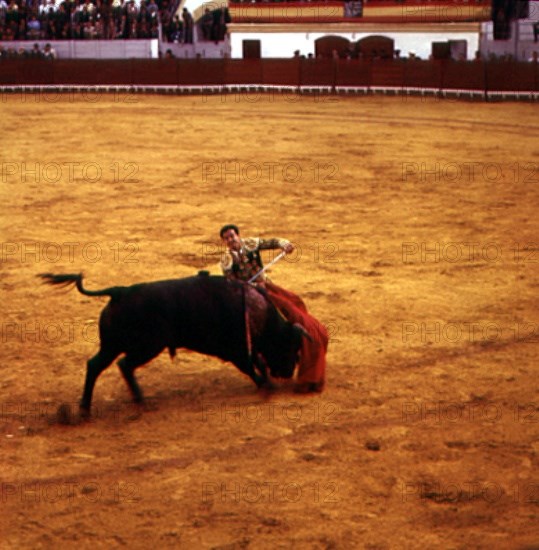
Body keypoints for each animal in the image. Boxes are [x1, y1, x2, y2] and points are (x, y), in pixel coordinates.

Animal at [39, 272, 308, 414]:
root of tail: (120, 292)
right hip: (146, 346)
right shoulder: (238, 350)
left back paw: (86, 407)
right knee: (124, 365)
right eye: (290, 346)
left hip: (112, 345)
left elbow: (255, 364)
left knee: (96, 365)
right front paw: (267, 384)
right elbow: (253, 366)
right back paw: (138, 399)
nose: (288, 372)